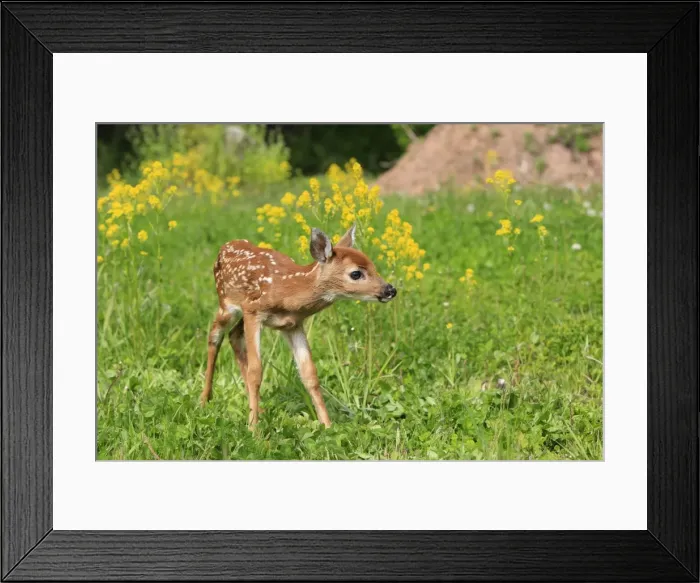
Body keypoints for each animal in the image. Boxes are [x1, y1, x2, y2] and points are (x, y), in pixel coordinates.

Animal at [199, 223, 397, 429]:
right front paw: (253, 429)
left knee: (233, 336)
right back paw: (205, 400)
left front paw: (327, 425)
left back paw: (258, 408)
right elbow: (256, 371)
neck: (289, 292)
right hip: (226, 304)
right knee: (215, 336)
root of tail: (225, 246)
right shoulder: (253, 311)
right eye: (356, 273)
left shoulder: (293, 325)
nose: (390, 290)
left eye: (374, 266)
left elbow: (309, 374)